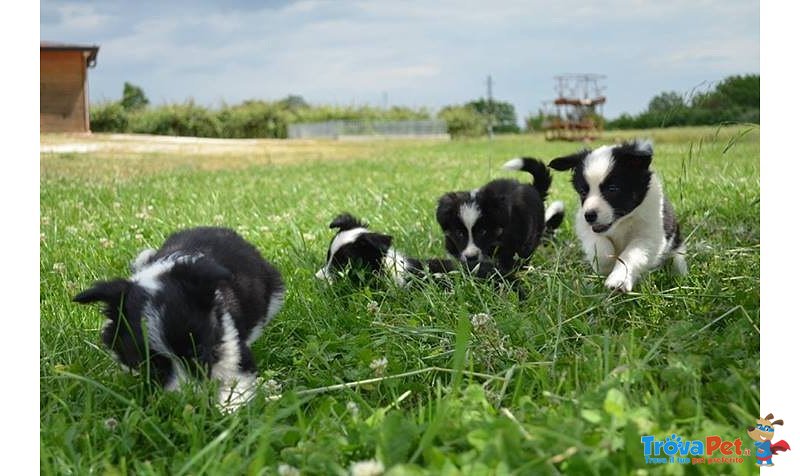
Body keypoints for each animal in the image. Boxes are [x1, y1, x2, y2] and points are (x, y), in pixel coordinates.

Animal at [72, 226, 284, 410]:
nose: (189, 403)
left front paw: (226, 415)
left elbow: (235, 384)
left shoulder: (232, 345)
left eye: (198, 353)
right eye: (151, 365)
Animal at [552, 139, 688, 292]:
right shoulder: (586, 228)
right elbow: (601, 247)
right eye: (583, 192)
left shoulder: (649, 237)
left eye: (612, 189)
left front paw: (618, 280)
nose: (589, 216)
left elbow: (630, 255)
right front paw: (605, 266)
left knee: (677, 257)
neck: (622, 222)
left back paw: (678, 272)